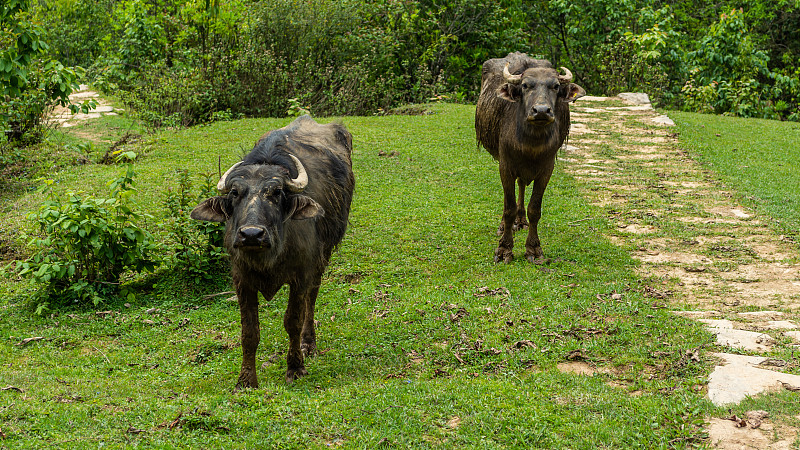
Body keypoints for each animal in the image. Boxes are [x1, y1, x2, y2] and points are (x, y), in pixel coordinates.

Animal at [191, 116, 354, 386]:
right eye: (235, 193)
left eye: (276, 192)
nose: (251, 234)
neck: (269, 256)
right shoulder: (242, 280)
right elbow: (249, 332)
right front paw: (246, 380)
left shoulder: (301, 276)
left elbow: (293, 320)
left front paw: (295, 367)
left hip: (323, 256)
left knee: (312, 298)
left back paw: (309, 343)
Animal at [472, 52, 584, 264]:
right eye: (525, 85)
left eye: (555, 86)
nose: (541, 111)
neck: (531, 144)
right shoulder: (505, 166)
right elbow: (508, 208)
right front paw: (504, 249)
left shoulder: (546, 170)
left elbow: (535, 209)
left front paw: (533, 249)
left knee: (522, 184)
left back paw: (521, 220)